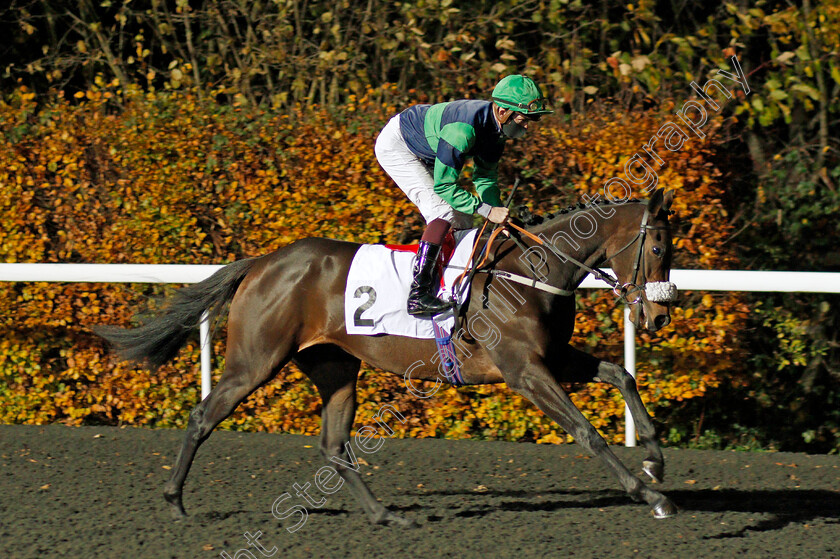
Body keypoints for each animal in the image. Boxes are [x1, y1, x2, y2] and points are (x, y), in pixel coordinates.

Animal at [95, 188, 680, 524]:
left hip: (334, 367)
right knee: (203, 416)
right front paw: (647, 493)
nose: (657, 316)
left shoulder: (551, 358)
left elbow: (621, 374)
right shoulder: (524, 371)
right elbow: (586, 430)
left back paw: (385, 517)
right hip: (254, 361)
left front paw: (654, 459)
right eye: (657, 248)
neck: (530, 271)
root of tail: (262, 262)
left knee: (334, 447)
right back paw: (175, 502)